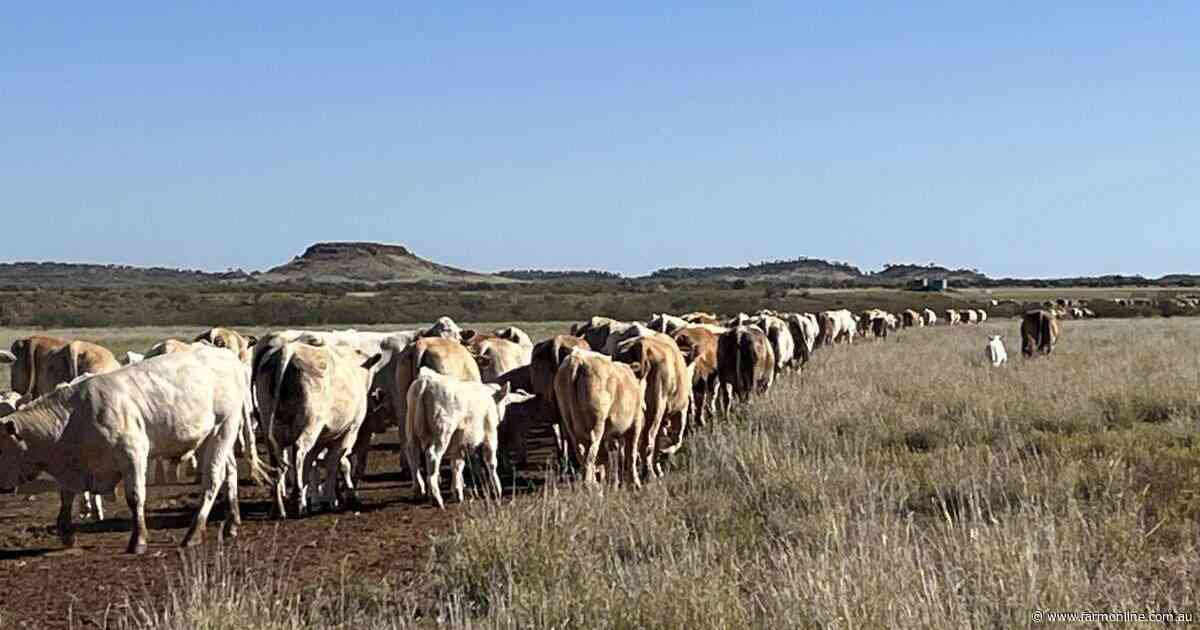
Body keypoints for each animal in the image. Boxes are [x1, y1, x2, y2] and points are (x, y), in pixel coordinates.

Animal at [0, 347, 268, 554]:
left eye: (2, 449)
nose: (3, 487)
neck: (74, 416)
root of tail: (226, 357)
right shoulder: (75, 466)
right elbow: (66, 497)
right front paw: (66, 533)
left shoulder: (133, 455)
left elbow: (135, 497)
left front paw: (138, 540)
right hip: (210, 437)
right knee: (229, 472)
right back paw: (232, 523)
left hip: (224, 428)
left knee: (213, 479)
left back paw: (194, 533)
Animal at [404, 369, 533, 508]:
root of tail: (426, 381)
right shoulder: (490, 434)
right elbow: (491, 461)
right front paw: (496, 489)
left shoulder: (458, 443)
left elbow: (457, 465)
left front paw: (458, 492)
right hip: (442, 432)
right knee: (432, 456)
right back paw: (436, 498)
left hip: (411, 431)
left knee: (412, 455)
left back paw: (418, 490)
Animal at [553, 349, 646, 488]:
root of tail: (577, 359)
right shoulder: (635, 424)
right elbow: (631, 453)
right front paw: (634, 483)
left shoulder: (610, 433)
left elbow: (611, 455)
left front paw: (613, 483)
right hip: (596, 424)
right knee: (591, 451)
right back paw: (591, 485)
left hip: (570, 421)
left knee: (581, 451)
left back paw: (592, 483)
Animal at [613, 335, 691, 479]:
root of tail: (641, 344)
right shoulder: (681, 409)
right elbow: (676, 437)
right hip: (656, 408)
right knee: (647, 442)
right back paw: (650, 475)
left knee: (626, 447)